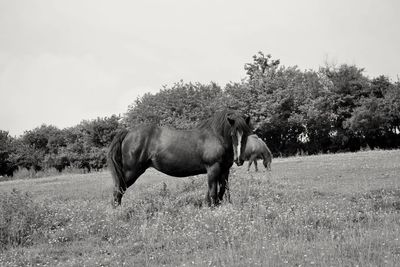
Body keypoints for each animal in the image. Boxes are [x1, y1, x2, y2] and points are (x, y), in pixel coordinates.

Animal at [106, 110, 250, 208]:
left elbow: (223, 190)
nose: (239, 160)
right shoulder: (213, 169)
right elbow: (213, 192)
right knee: (118, 190)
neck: (216, 137)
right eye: (232, 134)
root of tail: (128, 132)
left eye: (246, 133)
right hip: (131, 172)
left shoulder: (224, 170)